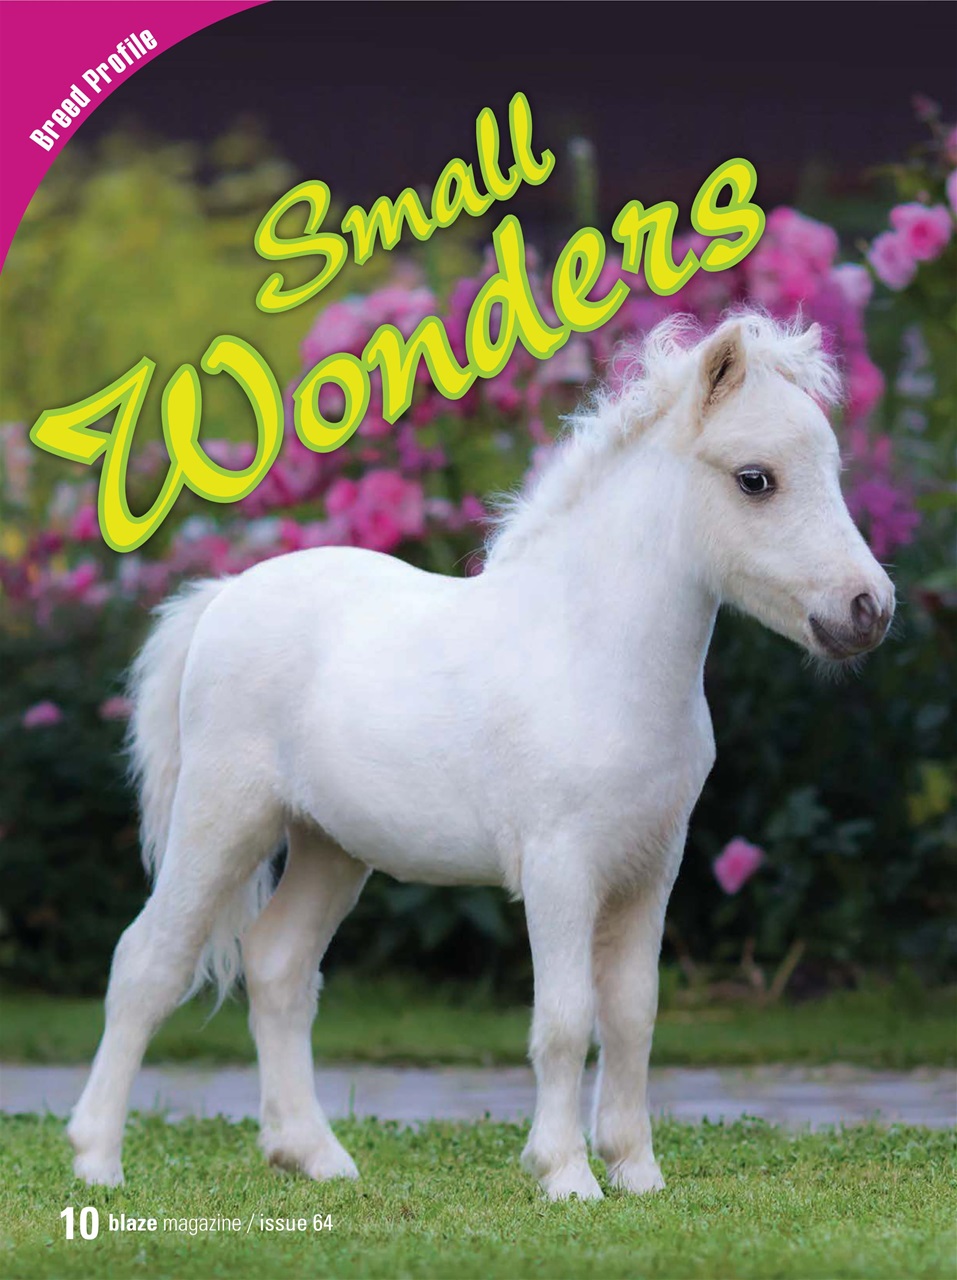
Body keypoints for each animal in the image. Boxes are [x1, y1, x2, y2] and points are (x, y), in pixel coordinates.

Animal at [68, 310, 894, 1200]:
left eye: (832, 471)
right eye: (754, 479)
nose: (868, 610)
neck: (592, 654)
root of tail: (223, 597)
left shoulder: (650, 869)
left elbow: (632, 1014)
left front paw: (635, 1172)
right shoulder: (562, 869)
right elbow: (565, 1019)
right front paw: (564, 1175)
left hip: (330, 847)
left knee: (279, 966)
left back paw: (314, 1155)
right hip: (223, 820)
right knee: (148, 962)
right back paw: (97, 1159)